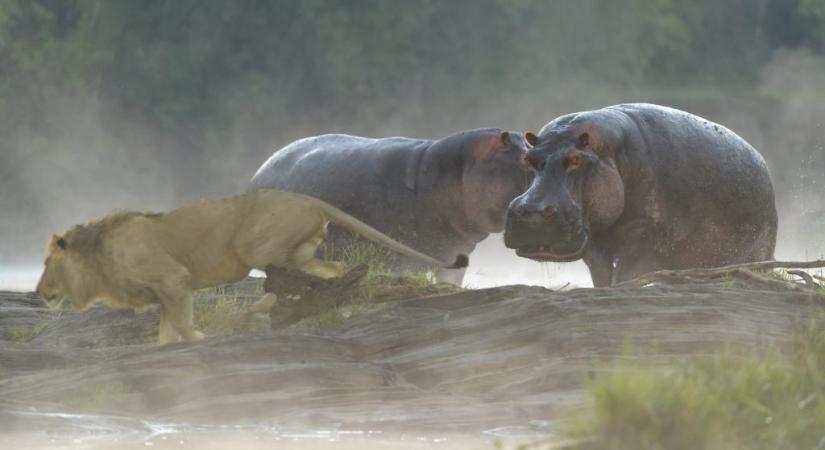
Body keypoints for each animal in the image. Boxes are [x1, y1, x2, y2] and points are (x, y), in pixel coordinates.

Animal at [35, 190, 466, 344]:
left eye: (45, 263)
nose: (38, 293)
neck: (97, 258)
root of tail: (306, 197)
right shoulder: (168, 292)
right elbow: (165, 331)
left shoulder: (174, 279)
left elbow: (181, 324)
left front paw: (199, 338)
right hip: (298, 250)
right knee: (330, 268)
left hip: (254, 248)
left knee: (288, 278)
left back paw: (275, 308)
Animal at [502, 102, 780, 286]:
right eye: (527, 158)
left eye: (576, 159)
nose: (533, 213)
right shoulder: (593, 242)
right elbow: (601, 277)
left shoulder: (643, 233)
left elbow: (624, 277)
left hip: (755, 255)